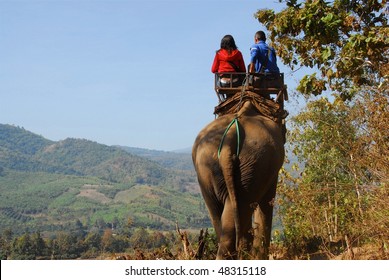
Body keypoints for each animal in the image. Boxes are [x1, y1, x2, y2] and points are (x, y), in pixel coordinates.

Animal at [192, 99, 284, 260]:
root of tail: (231, 135)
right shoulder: (271, 171)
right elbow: (267, 201)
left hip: (208, 170)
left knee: (220, 214)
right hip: (253, 165)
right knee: (241, 207)